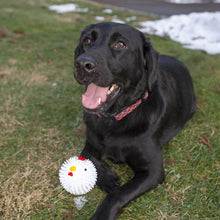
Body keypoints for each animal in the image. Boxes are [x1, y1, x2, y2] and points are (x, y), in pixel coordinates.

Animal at [74, 21, 196, 218]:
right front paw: (108, 178)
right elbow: (86, 156)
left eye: (120, 44)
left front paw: (102, 214)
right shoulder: (90, 144)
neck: (113, 119)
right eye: (87, 40)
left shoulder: (153, 171)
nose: (83, 64)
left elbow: (117, 194)